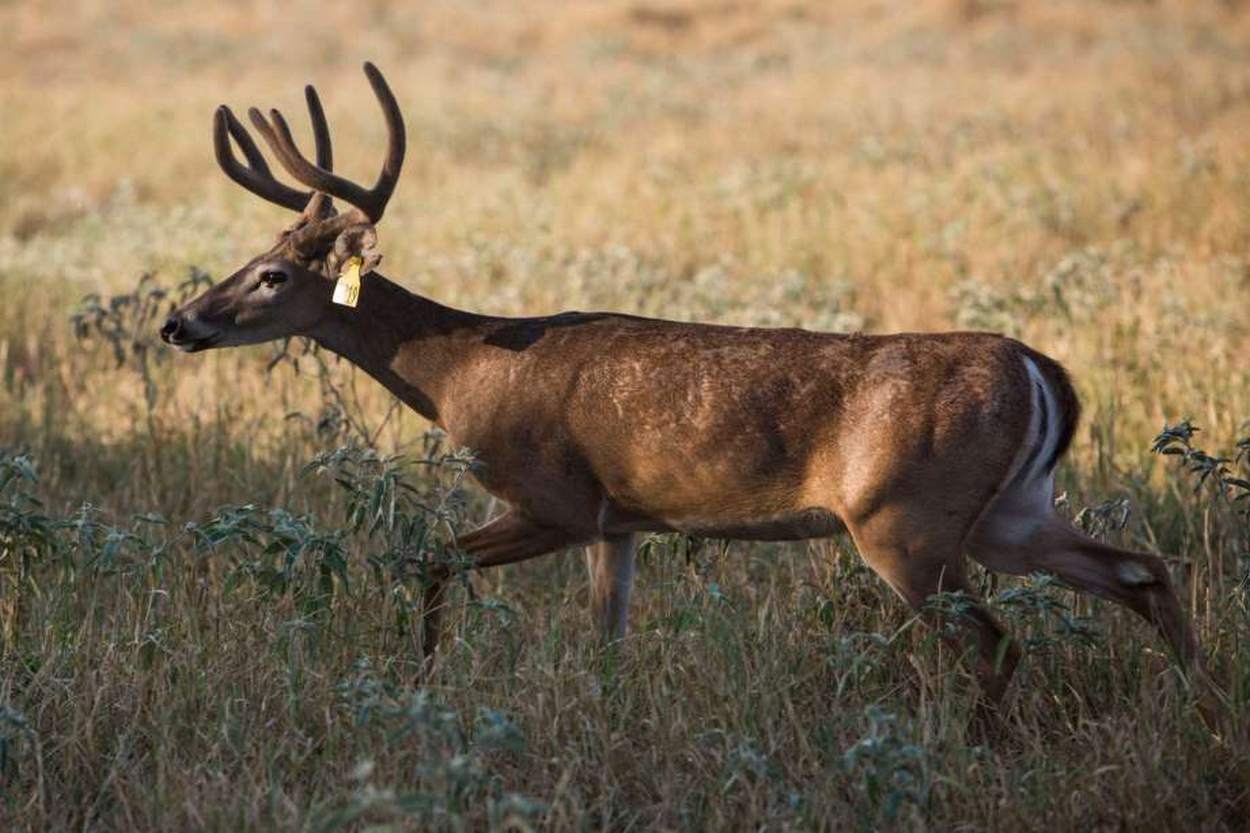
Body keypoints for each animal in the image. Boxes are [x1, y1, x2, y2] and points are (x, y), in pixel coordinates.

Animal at [161, 63, 1205, 715]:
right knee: (1145, 568)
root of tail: (1041, 369)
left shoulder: (556, 497)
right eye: (249, 259)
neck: (464, 369)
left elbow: (427, 558)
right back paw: (1202, 706)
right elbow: (606, 638)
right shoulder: (619, 520)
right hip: (1009, 513)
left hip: (906, 521)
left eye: (272, 275)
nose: (180, 322)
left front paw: (417, 682)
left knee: (1000, 642)